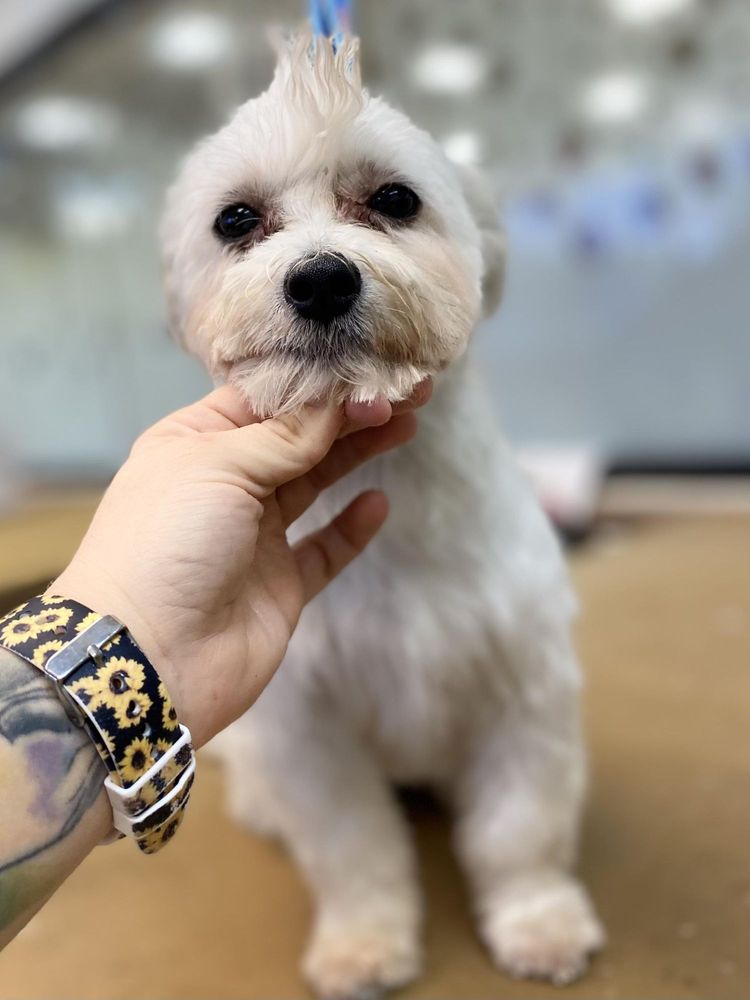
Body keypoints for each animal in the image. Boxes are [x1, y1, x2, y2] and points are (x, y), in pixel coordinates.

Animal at [162, 34, 604, 998]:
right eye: (236, 219)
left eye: (396, 200)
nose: (321, 279)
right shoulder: (309, 731)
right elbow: (352, 849)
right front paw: (363, 944)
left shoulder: (523, 688)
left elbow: (519, 832)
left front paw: (539, 921)